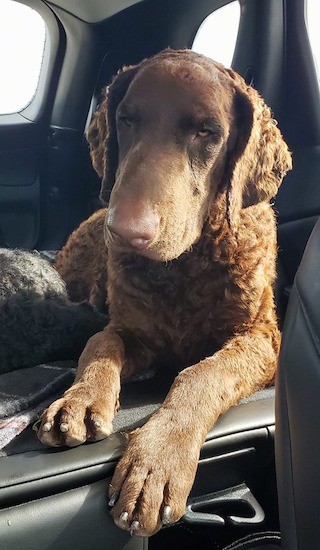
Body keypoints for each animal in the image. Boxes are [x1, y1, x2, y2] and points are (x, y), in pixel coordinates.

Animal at [37, 51, 292, 540]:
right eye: (125, 119)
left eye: (206, 131)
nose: (124, 231)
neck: (184, 270)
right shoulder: (131, 330)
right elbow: (101, 341)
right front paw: (79, 400)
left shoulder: (263, 338)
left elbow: (201, 374)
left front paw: (156, 463)